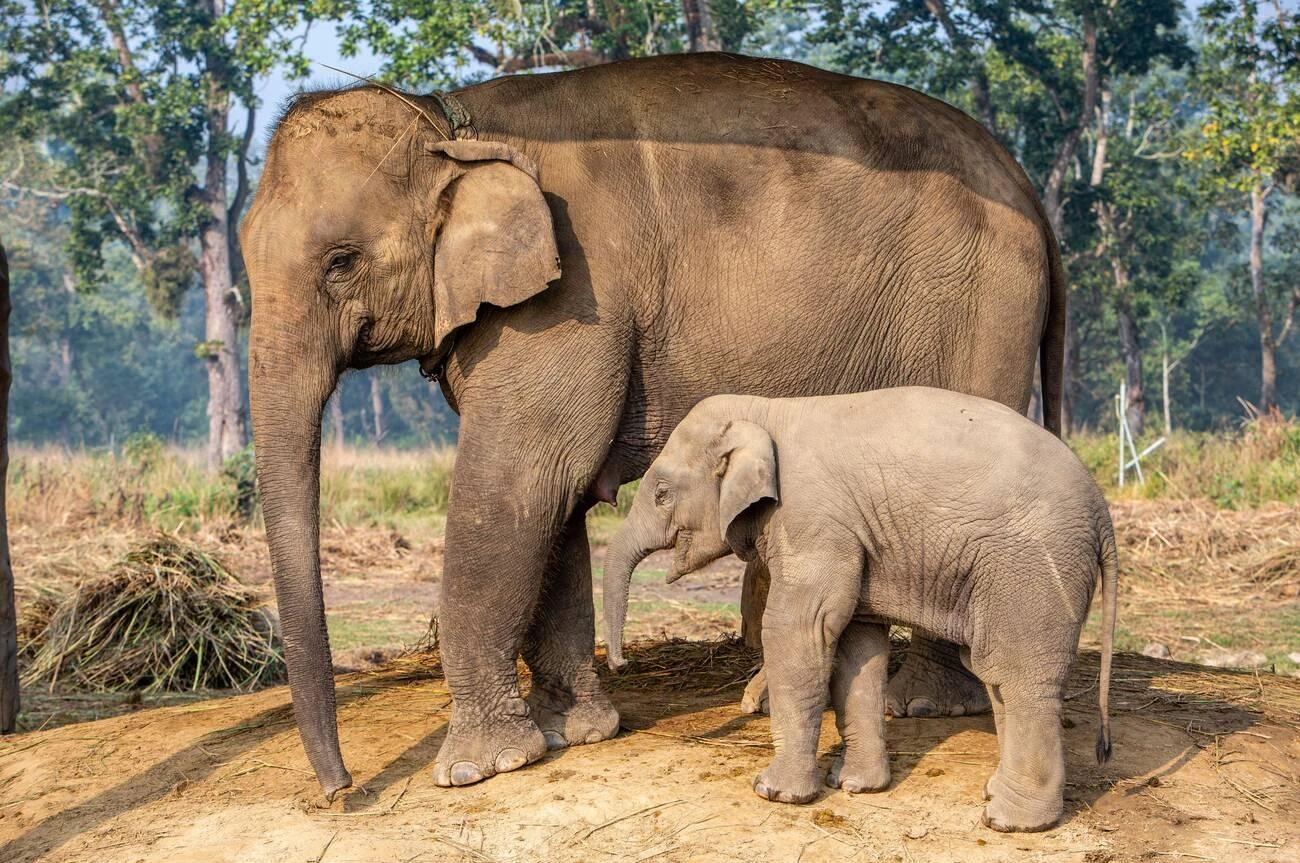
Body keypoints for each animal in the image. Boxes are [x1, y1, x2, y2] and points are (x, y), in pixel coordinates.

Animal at [239, 51, 1066, 799]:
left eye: (341, 260)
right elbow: (556, 499)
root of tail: (1026, 183)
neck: (449, 121)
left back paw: (920, 701)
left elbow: (515, 484)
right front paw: (576, 731)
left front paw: (477, 766)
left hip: (981, 306)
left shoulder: (572, 299)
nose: (341, 790)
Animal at [602, 389, 1117, 832]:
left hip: (1031, 569)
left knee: (1018, 675)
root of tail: (1102, 513)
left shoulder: (812, 522)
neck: (768, 410)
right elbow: (857, 644)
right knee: (997, 676)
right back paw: (995, 795)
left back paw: (1010, 822)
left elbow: (798, 632)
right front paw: (854, 787)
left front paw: (776, 793)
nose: (620, 662)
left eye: (662, 493)